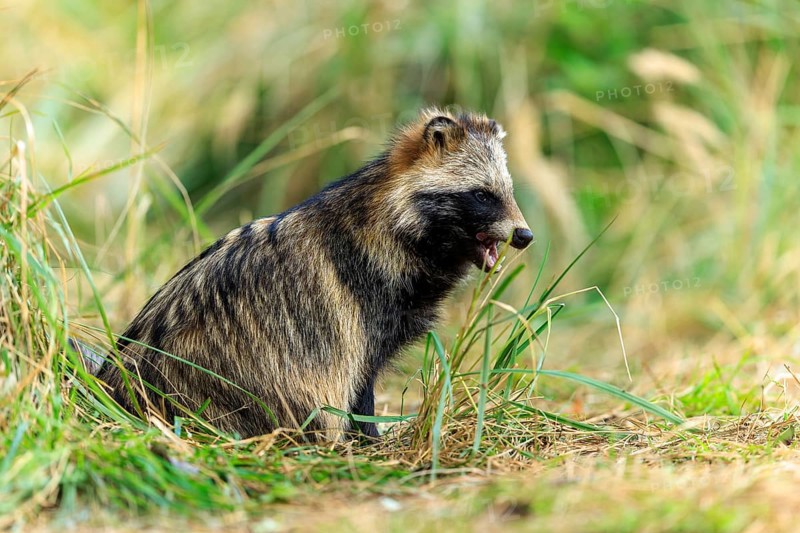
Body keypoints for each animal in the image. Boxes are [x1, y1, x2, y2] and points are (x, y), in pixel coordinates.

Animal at [95, 108, 533, 440]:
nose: (525, 235)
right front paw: (368, 438)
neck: (390, 222)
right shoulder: (361, 302)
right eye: (482, 195)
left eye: (507, 191)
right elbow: (356, 383)